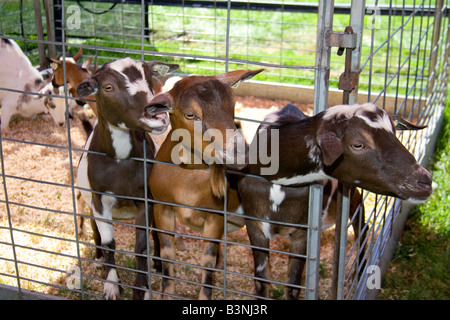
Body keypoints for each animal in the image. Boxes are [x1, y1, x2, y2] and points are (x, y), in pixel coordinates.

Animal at [75, 58, 178, 300]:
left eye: (151, 80)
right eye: (108, 87)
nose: (157, 115)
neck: (120, 161)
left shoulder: (144, 200)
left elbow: (141, 247)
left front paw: (142, 289)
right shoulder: (100, 201)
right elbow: (109, 242)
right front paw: (111, 285)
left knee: (157, 234)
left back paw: (158, 264)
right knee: (95, 230)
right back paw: (98, 259)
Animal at [144, 69, 264, 298]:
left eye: (232, 105)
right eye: (190, 114)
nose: (239, 153)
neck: (187, 184)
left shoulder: (215, 217)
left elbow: (206, 263)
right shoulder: (162, 208)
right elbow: (168, 256)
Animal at [239, 103, 432, 300]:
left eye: (394, 133)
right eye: (358, 144)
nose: (425, 182)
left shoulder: (302, 231)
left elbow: (293, 285)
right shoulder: (254, 225)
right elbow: (261, 281)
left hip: (352, 193)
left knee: (362, 228)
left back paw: (356, 276)